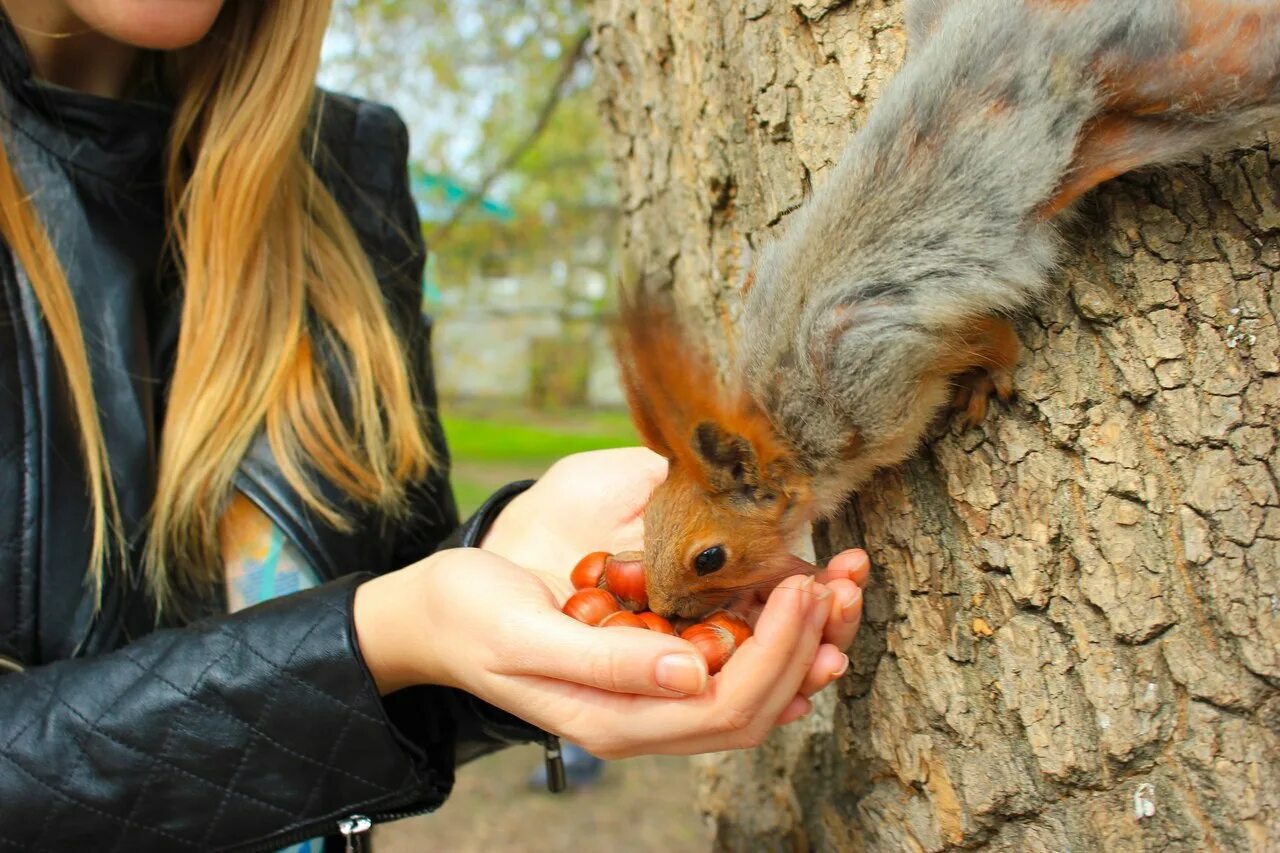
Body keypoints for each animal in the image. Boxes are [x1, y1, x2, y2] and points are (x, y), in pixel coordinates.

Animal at [616, 0, 1280, 614]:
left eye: (709, 557)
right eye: (645, 517)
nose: (664, 610)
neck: (788, 424)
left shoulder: (888, 366)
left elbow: (987, 337)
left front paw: (989, 378)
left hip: (1177, 90)